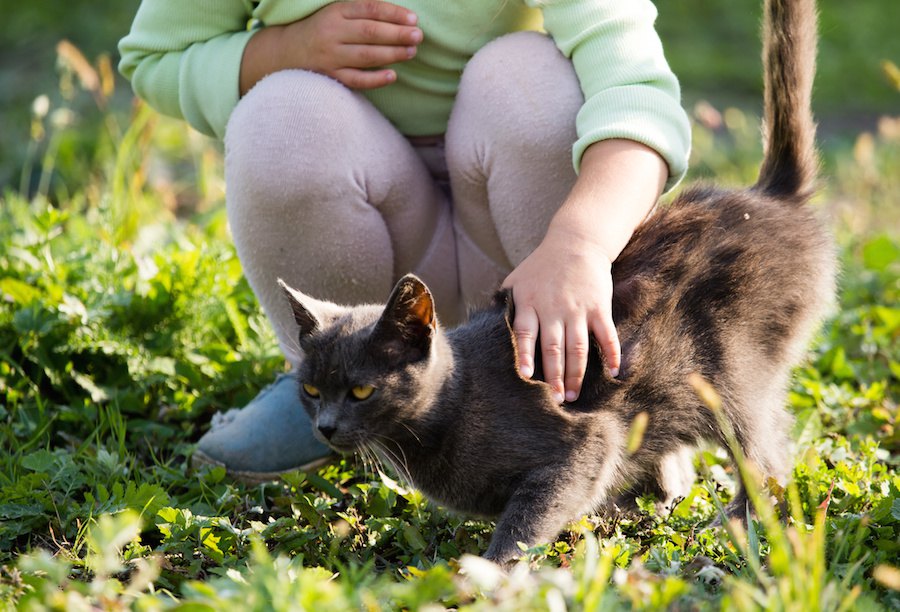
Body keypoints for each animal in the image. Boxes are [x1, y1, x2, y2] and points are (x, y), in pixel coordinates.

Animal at [278, 0, 832, 564]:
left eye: (362, 391)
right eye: (311, 390)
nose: (324, 427)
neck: (454, 404)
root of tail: (768, 197)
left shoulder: (582, 441)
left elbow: (529, 518)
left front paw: (490, 571)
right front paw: (631, 513)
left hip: (731, 370)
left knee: (766, 457)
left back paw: (734, 527)